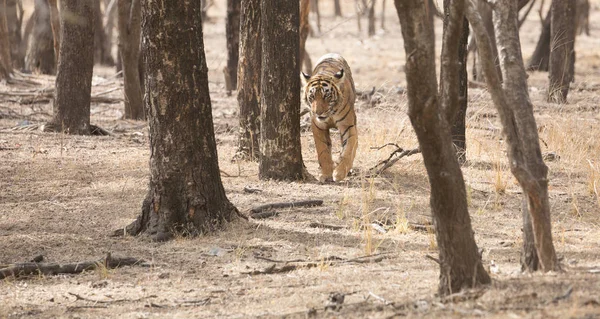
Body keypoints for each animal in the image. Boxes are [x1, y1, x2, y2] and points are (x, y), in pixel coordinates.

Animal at [304, 52, 356, 182]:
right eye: (312, 96)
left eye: (326, 96)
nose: (318, 113)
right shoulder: (318, 126)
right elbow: (322, 150)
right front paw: (326, 174)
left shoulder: (348, 125)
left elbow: (349, 149)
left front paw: (340, 172)